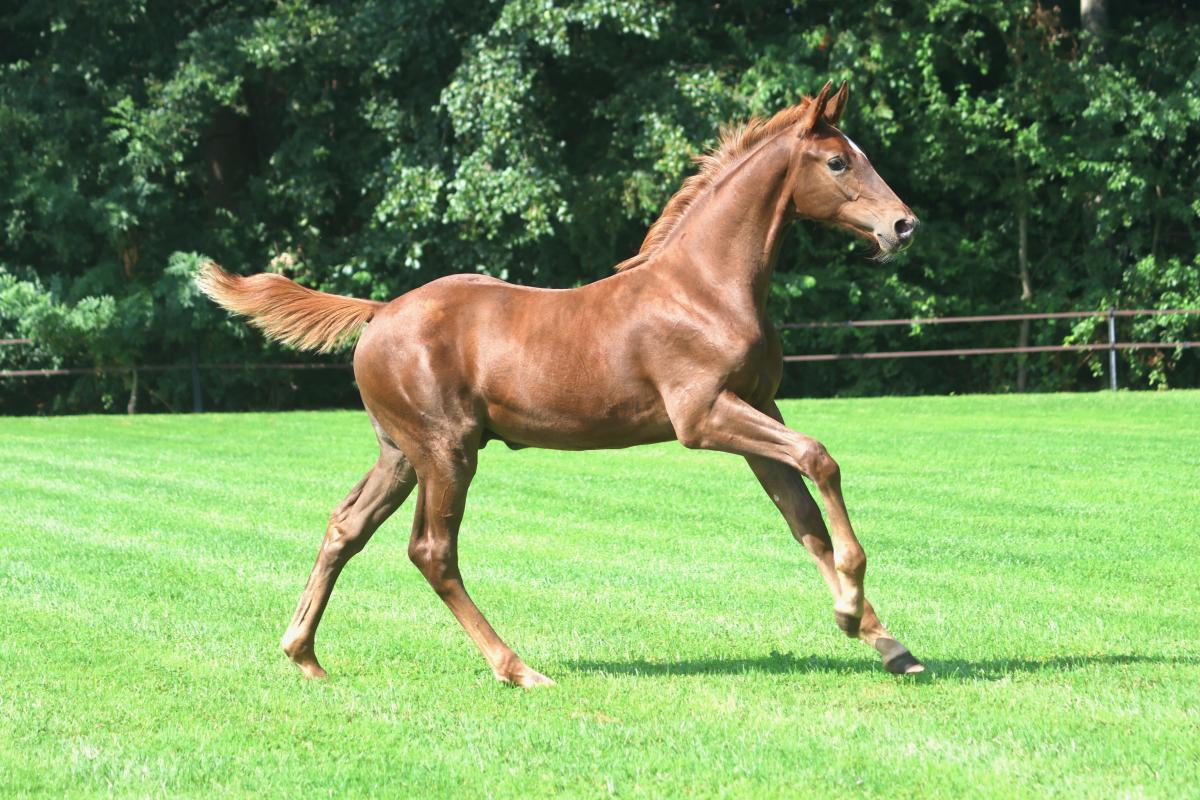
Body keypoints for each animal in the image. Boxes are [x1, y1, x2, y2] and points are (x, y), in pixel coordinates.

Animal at [198, 81, 924, 686]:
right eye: (838, 163)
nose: (904, 225)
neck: (704, 288)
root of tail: (379, 313)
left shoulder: (756, 407)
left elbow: (804, 520)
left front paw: (886, 641)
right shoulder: (703, 417)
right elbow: (819, 459)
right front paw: (851, 606)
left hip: (400, 453)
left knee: (346, 527)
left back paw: (303, 654)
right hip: (447, 450)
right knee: (432, 551)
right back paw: (517, 668)